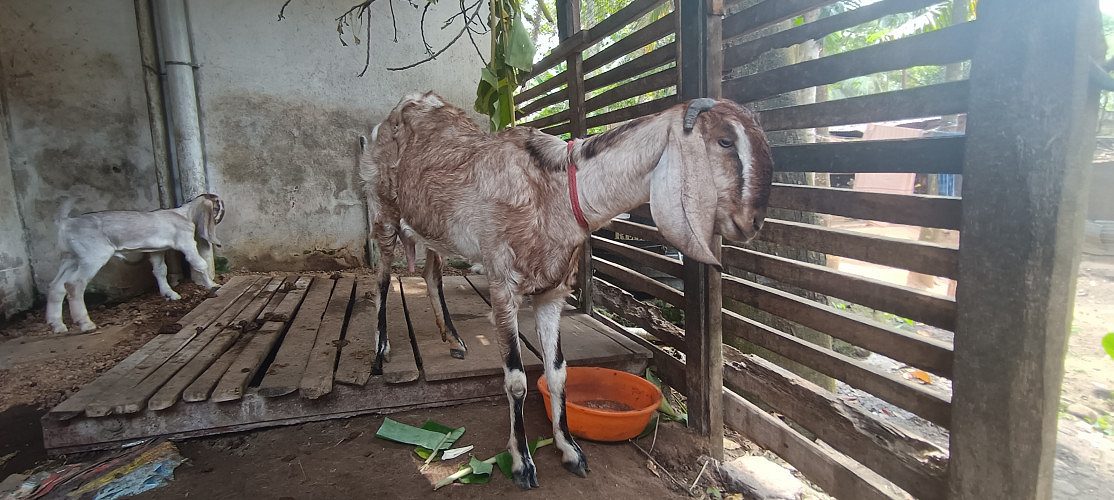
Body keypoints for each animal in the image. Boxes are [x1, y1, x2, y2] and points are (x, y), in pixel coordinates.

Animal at [46, 194, 225, 333]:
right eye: (219, 208)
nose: (220, 218)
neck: (184, 214)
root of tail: (66, 223)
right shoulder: (185, 241)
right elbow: (200, 263)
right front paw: (212, 284)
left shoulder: (156, 251)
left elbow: (160, 270)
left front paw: (170, 294)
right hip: (92, 255)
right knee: (74, 284)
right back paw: (85, 323)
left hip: (70, 258)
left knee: (57, 286)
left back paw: (57, 325)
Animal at [361, 91, 773, 489]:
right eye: (725, 140)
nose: (753, 223)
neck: (554, 192)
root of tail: (403, 106)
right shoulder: (502, 286)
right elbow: (516, 380)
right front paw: (522, 462)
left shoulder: (552, 293)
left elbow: (558, 373)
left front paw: (570, 449)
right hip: (383, 209)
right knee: (381, 276)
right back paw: (379, 353)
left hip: (432, 226)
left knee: (431, 273)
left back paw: (454, 339)